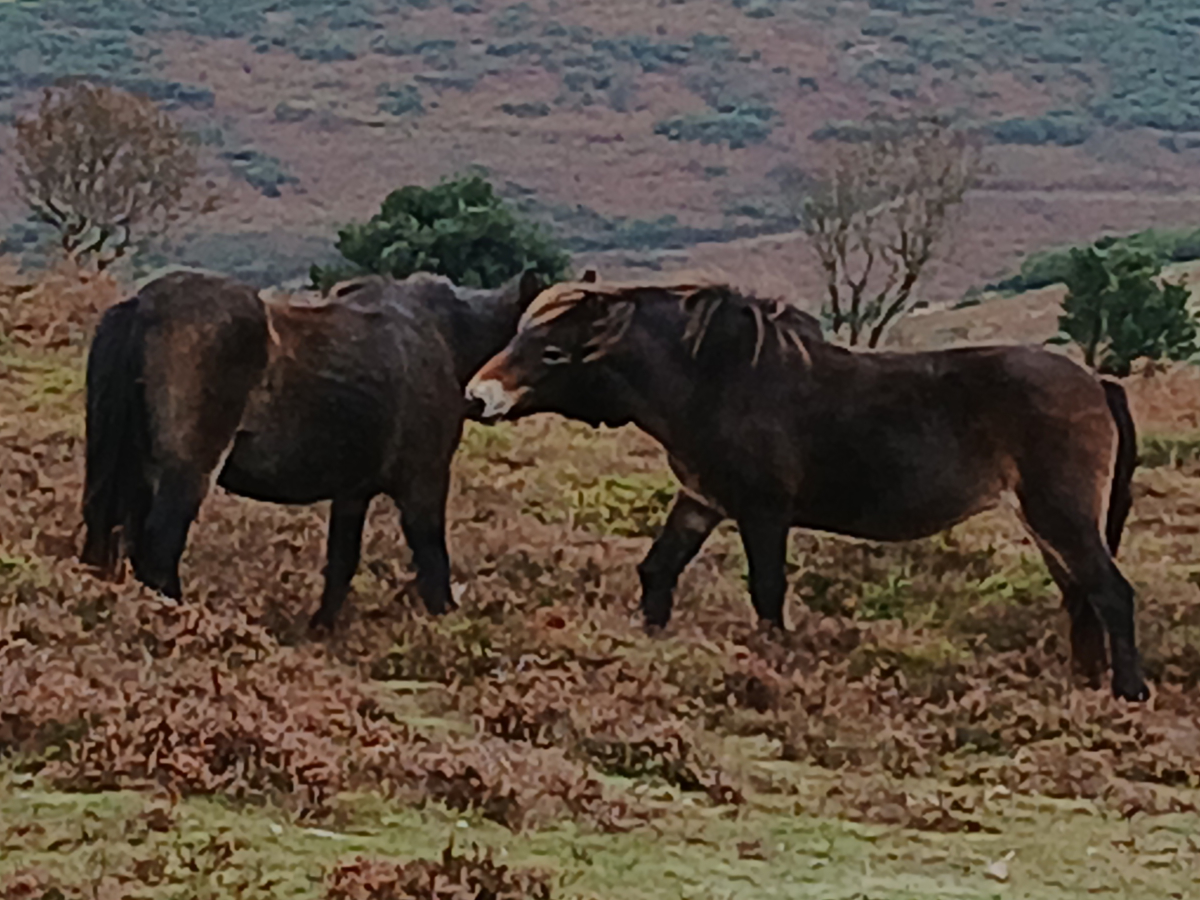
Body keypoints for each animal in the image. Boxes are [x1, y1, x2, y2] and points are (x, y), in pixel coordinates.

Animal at [80, 267, 545, 630]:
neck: (446, 337)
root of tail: (142, 304)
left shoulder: (353, 493)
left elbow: (341, 563)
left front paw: (320, 632)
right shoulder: (423, 485)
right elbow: (433, 563)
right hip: (185, 474)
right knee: (159, 550)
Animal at [464, 278, 1150, 702]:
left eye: (553, 351)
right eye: (518, 335)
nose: (477, 396)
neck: (715, 379)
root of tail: (1097, 381)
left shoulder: (763, 511)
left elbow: (767, 591)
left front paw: (772, 667)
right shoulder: (702, 502)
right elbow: (659, 569)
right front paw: (651, 639)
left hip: (1061, 515)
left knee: (1112, 594)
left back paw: (1128, 693)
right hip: (1048, 524)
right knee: (1081, 597)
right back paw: (1085, 684)